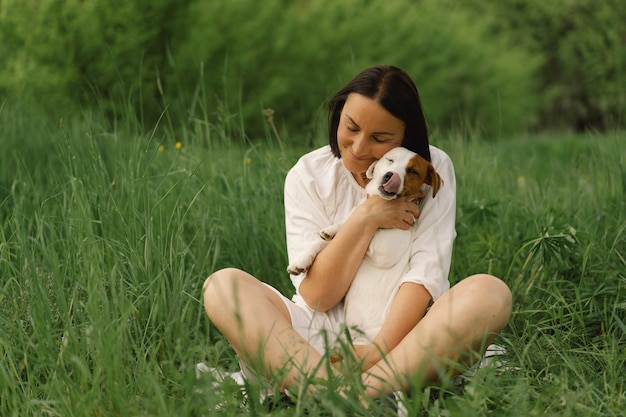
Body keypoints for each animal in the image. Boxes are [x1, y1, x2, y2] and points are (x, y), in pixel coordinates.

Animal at [286, 146, 442, 344]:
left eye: (413, 171)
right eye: (390, 160)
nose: (389, 176)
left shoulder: (384, 248)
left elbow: (349, 225)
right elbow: (326, 238)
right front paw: (302, 260)